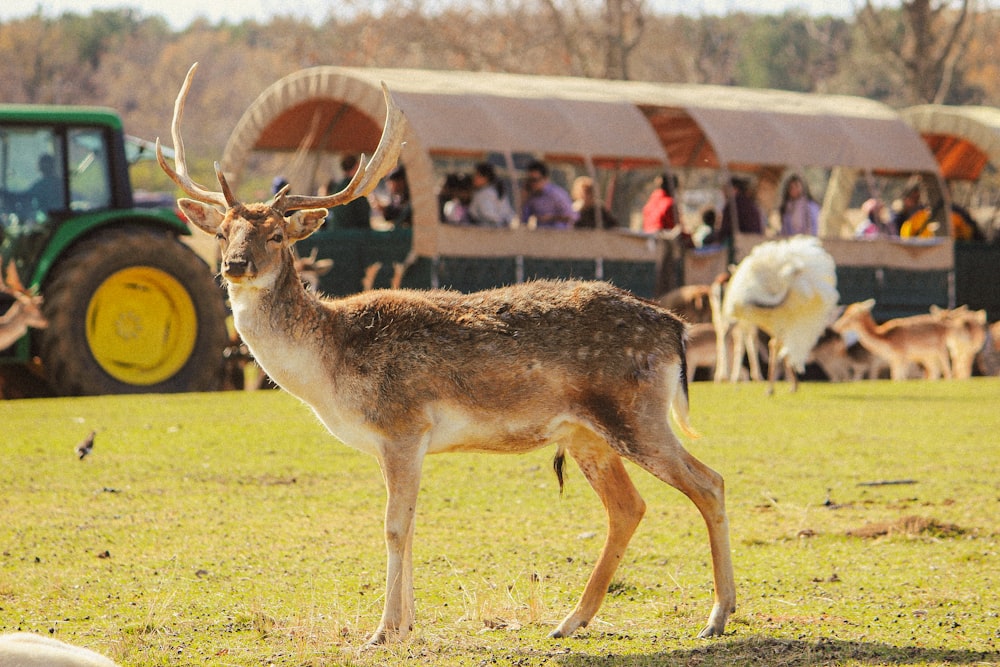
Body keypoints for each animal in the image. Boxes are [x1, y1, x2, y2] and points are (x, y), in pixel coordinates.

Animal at [156, 62, 736, 648]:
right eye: (223, 231)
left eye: (276, 234)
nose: (234, 265)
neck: (330, 368)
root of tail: (674, 329)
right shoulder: (398, 442)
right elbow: (410, 526)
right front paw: (406, 624)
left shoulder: (402, 426)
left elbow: (394, 526)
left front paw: (383, 630)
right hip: (585, 432)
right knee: (629, 506)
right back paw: (571, 621)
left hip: (636, 413)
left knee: (709, 482)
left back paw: (717, 615)